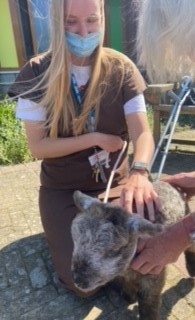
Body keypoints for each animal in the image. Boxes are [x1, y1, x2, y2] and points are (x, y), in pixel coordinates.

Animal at [71, 181, 194, 318]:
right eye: (75, 241)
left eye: (114, 250)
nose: (78, 281)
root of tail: (168, 183)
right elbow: (128, 284)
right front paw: (129, 295)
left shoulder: (153, 275)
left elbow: (149, 306)